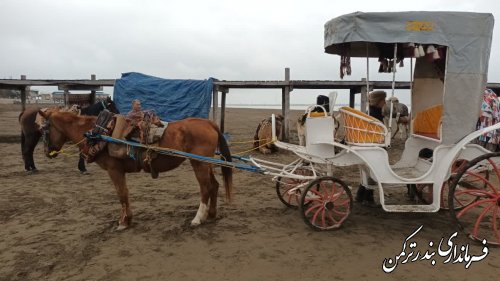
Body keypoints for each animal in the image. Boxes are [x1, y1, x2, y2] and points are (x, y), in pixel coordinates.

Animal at [39, 110, 234, 230]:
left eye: (44, 129)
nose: (47, 152)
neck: (101, 132)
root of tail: (209, 123)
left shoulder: (114, 170)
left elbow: (122, 194)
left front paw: (124, 222)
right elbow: (124, 195)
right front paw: (126, 219)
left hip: (199, 164)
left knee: (205, 188)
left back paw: (198, 218)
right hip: (204, 163)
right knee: (214, 186)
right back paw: (211, 215)